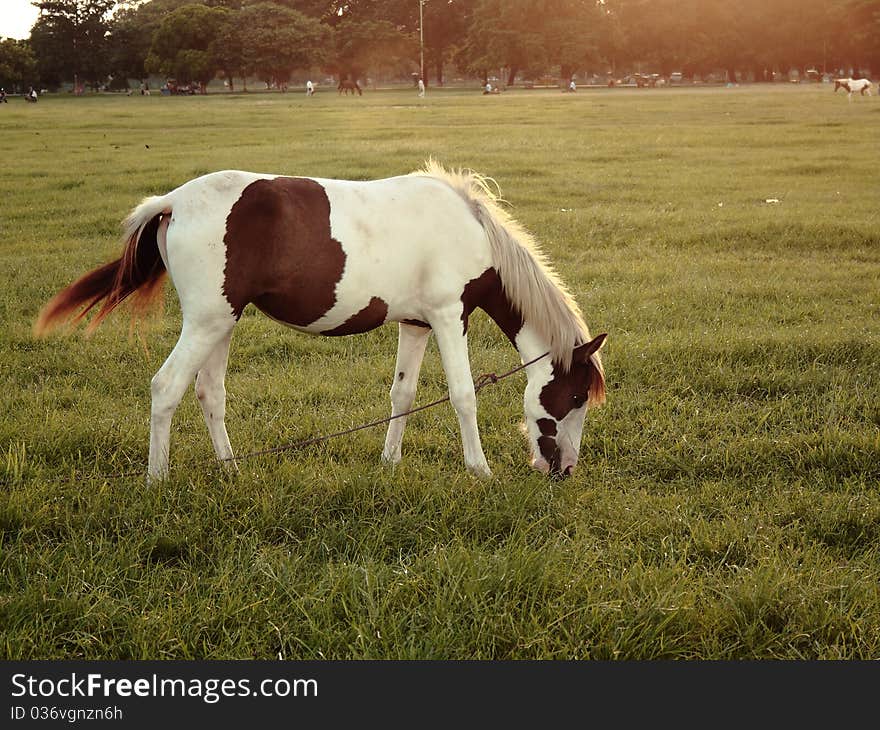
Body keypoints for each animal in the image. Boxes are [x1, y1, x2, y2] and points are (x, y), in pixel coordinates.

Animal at [37, 160, 608, 480]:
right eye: (578, 397)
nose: (565, 471)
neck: (469, 230)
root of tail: (173, 201)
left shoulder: (417, 324)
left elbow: (403, 394)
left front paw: (390, 464)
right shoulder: (449, 318)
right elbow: (464, 396)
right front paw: (480, 471)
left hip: (222, 323)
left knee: (208, 393)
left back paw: (230, 470)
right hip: (204, 323)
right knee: (166, 388)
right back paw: (158, 481)